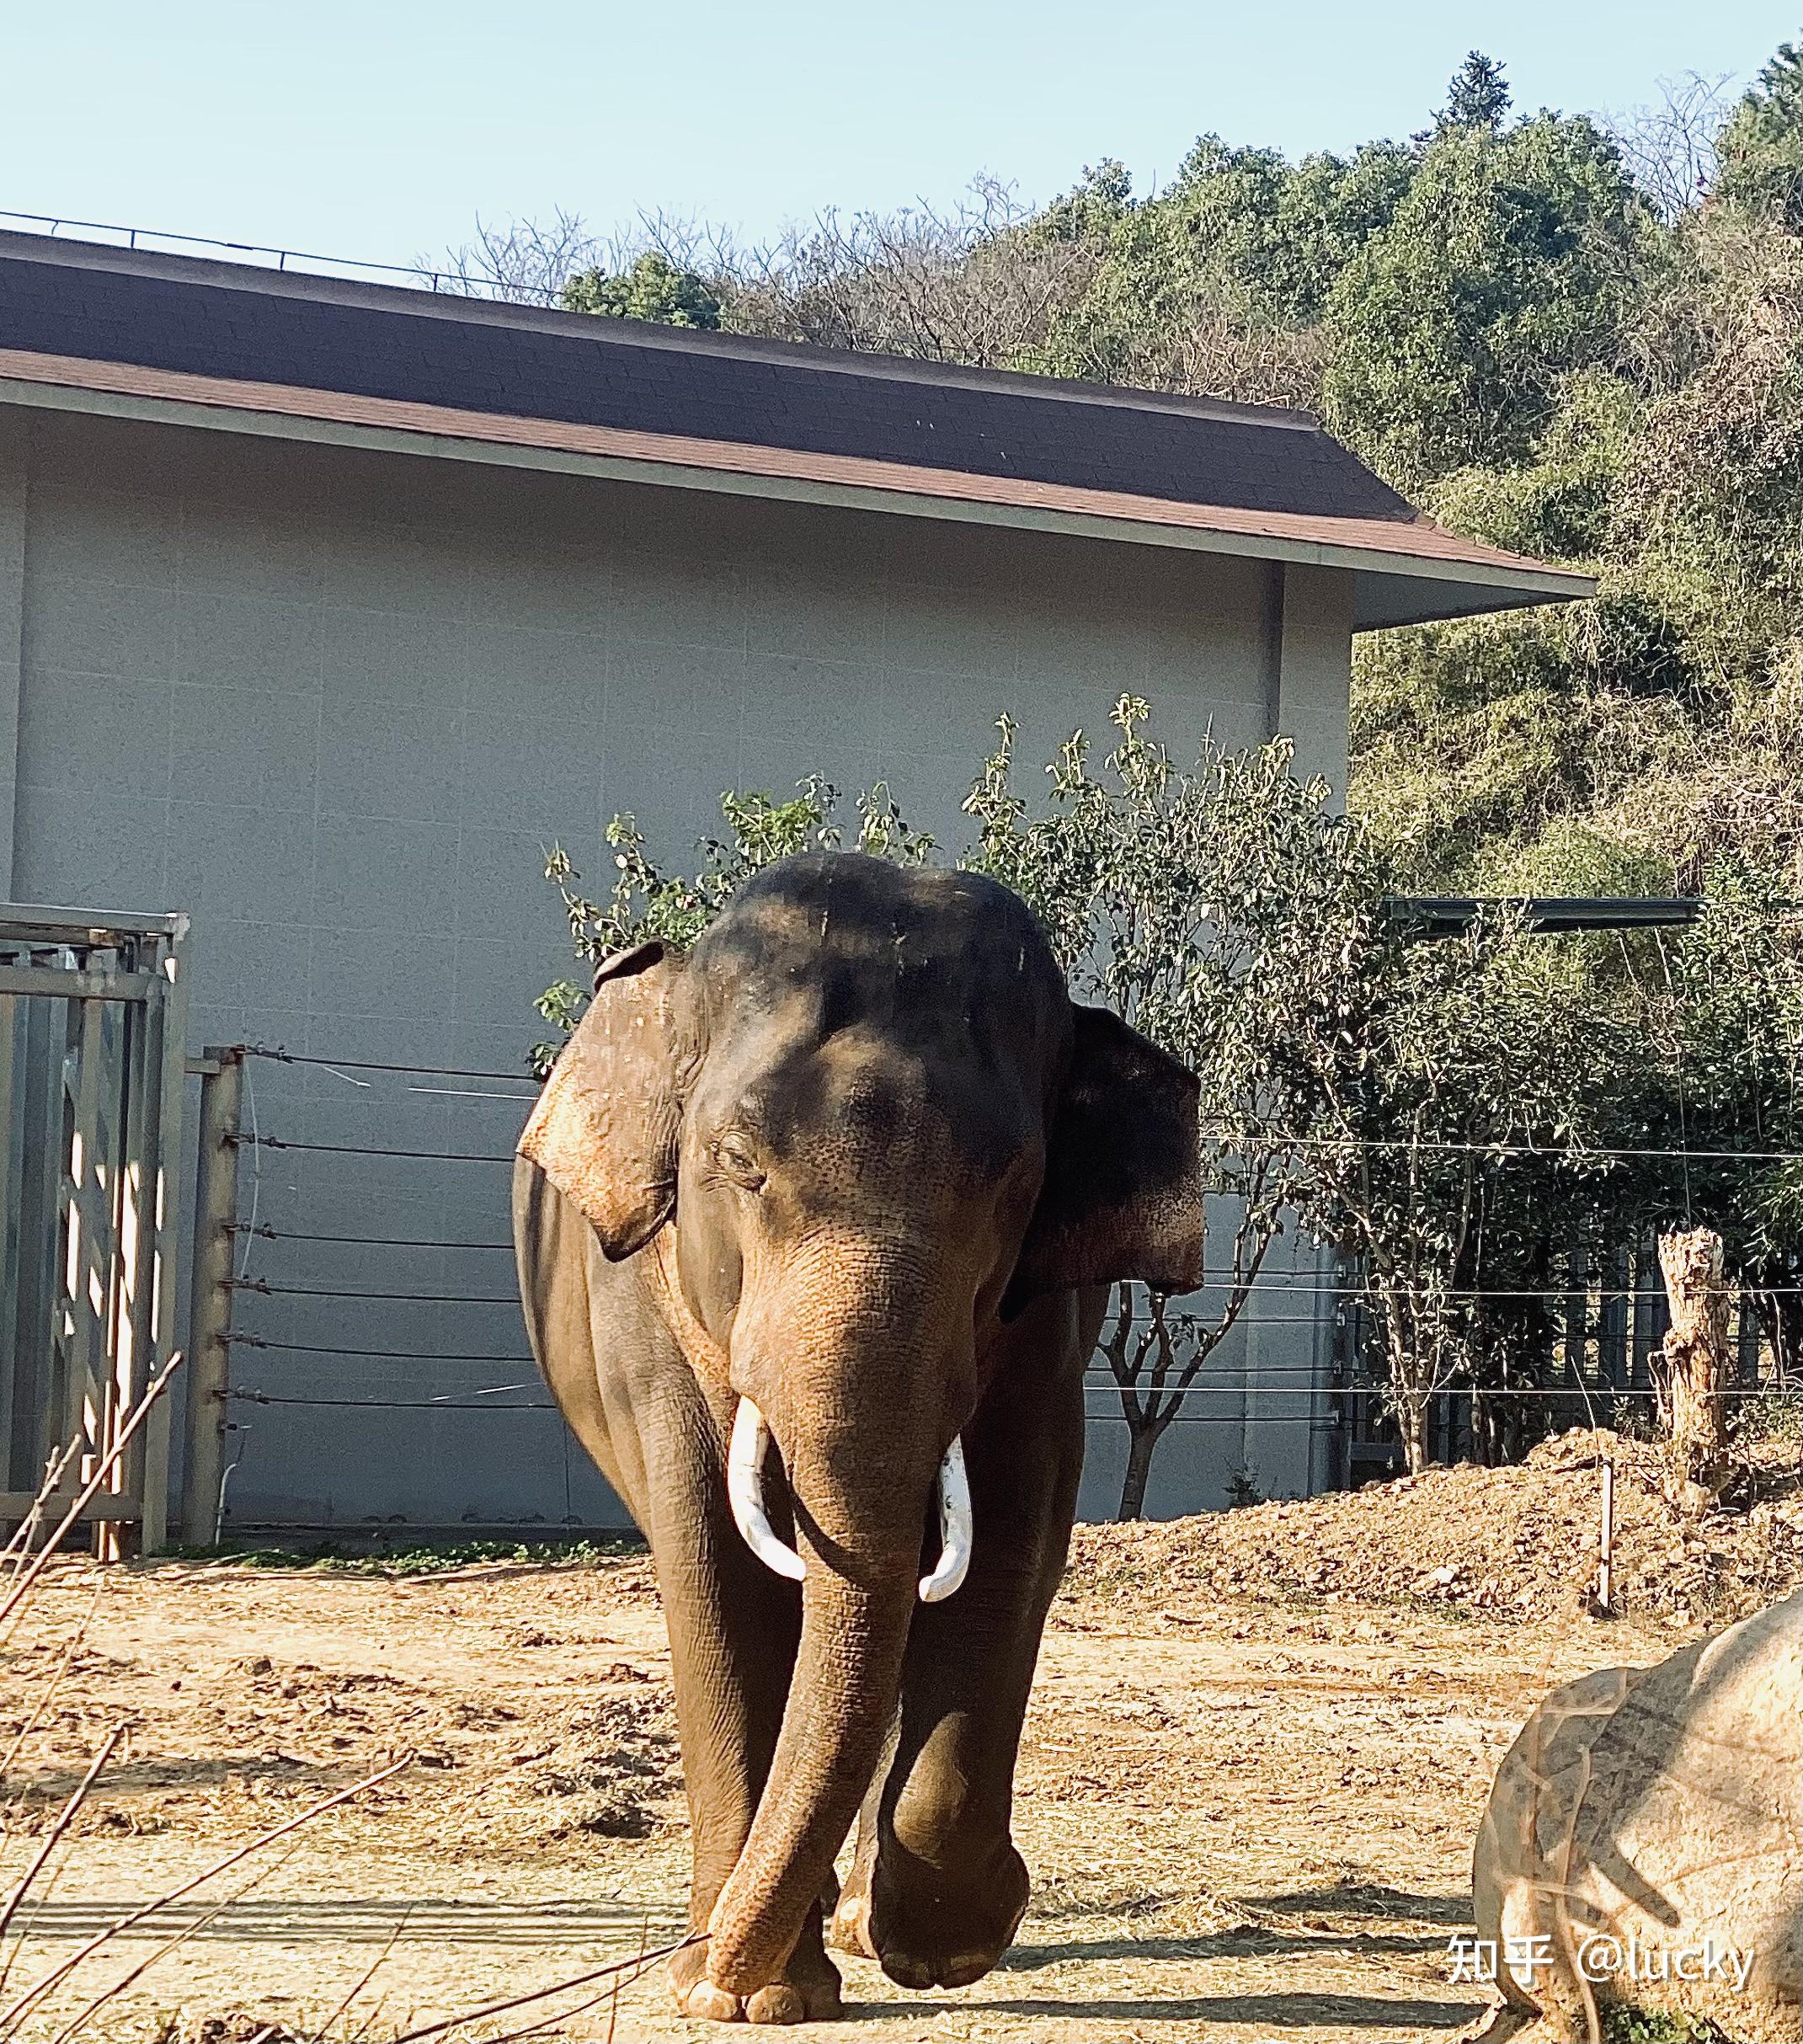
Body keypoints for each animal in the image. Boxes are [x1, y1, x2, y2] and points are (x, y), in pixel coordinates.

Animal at [513, 854, 1202, 2019]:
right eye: (736, 1161)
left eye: (1013, 1185)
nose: (714, 1969)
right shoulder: (647, 1313)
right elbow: (711, 1566)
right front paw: (743, 1995)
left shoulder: (1044, 1325)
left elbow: (1011, 1534)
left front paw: (943, 1944)